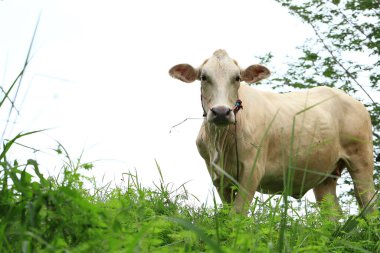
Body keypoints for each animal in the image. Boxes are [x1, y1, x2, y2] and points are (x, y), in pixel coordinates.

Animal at [170, 49, 378, 213]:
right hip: (324, 175)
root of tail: (354, 101)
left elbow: (238, 213)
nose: (221, 112)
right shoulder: (217, 174)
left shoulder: (253, 169)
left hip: (362, 158)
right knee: (332, 215)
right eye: (204, 77)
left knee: (369, 204)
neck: (221, 142)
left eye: (237, 78)